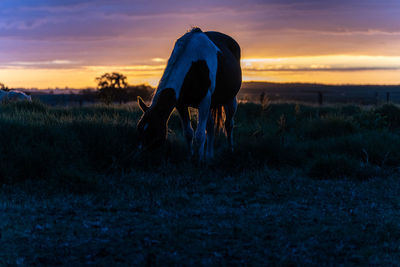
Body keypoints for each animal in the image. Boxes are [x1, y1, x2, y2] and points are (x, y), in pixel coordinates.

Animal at [138, 27, 242, 161]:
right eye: (139, 129)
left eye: (153, 131)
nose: (141, 156)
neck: (194, 64)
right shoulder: (181, 104)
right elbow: (188, 133)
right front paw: (191, 157)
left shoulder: (204, 101)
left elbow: (200, 135)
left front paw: (199, 161)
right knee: (211, 127)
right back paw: (209, 156)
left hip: (230, 99)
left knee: (228, 125)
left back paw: (230, 150)